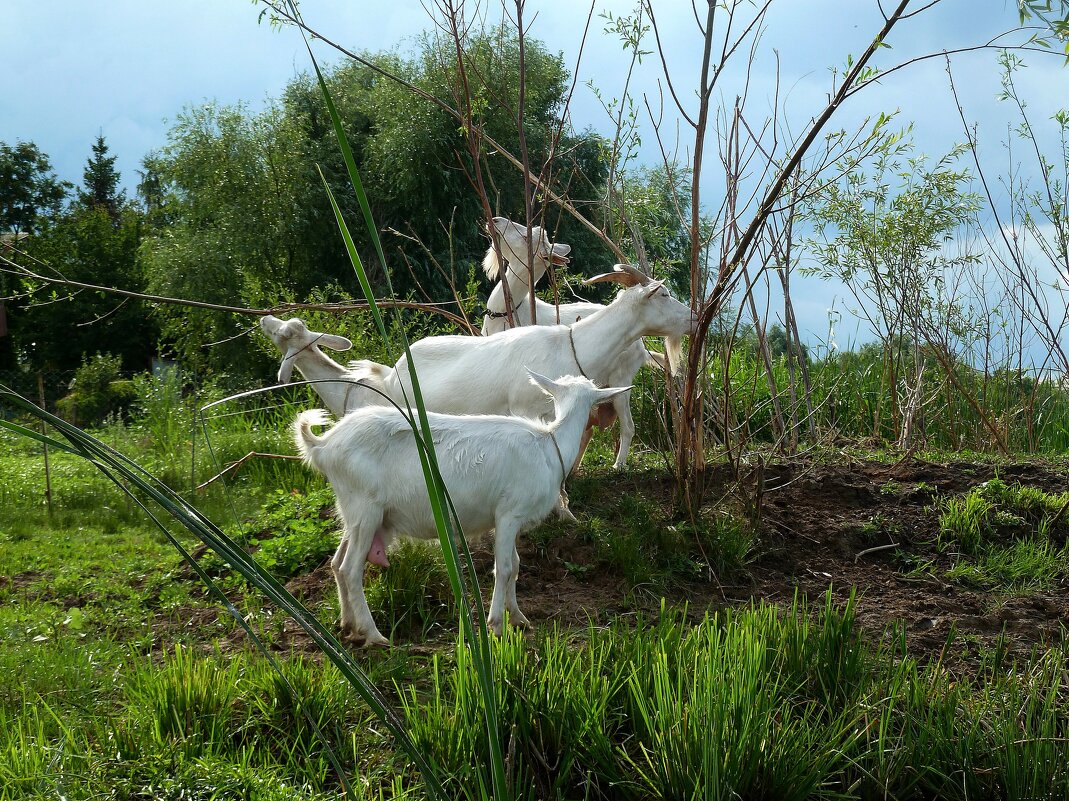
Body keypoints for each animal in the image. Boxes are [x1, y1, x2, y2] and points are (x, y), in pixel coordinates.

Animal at [295, 370, 624, 641]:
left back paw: (348, 626)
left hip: (355, 512)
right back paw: (374, 634)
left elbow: (516, 564)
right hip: (366, 508)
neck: (548, 445)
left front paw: (518, 617)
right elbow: (504, 567)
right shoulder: (509, 513)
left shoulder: (510, 520)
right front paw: (496, 624)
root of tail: (323, 446)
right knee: (350, 569)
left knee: (336, 564)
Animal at [483, 219, 667, 468]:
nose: (495, 221)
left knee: (627, 426)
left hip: (621, 378)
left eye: (526, 236)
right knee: (587, 428)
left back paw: (618, 465)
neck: (505, 312)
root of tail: (641, 346)